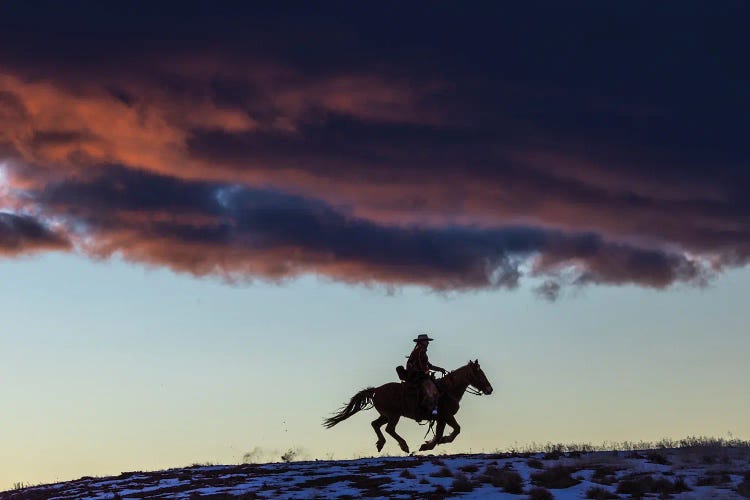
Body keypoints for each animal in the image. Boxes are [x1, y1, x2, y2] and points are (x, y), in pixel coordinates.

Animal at [324, 360, 494, 454]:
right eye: (480, 373)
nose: (489, 389)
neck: (448, 389)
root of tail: (376, 390)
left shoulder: (446, 417)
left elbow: (453, 430)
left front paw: (436, 442)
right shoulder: (443, 417)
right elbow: (446, 432)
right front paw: (428, 445)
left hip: (386, 415)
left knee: (375, 424)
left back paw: (381, 443)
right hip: (393, 416)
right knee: (389, 429)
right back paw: (404, 446)